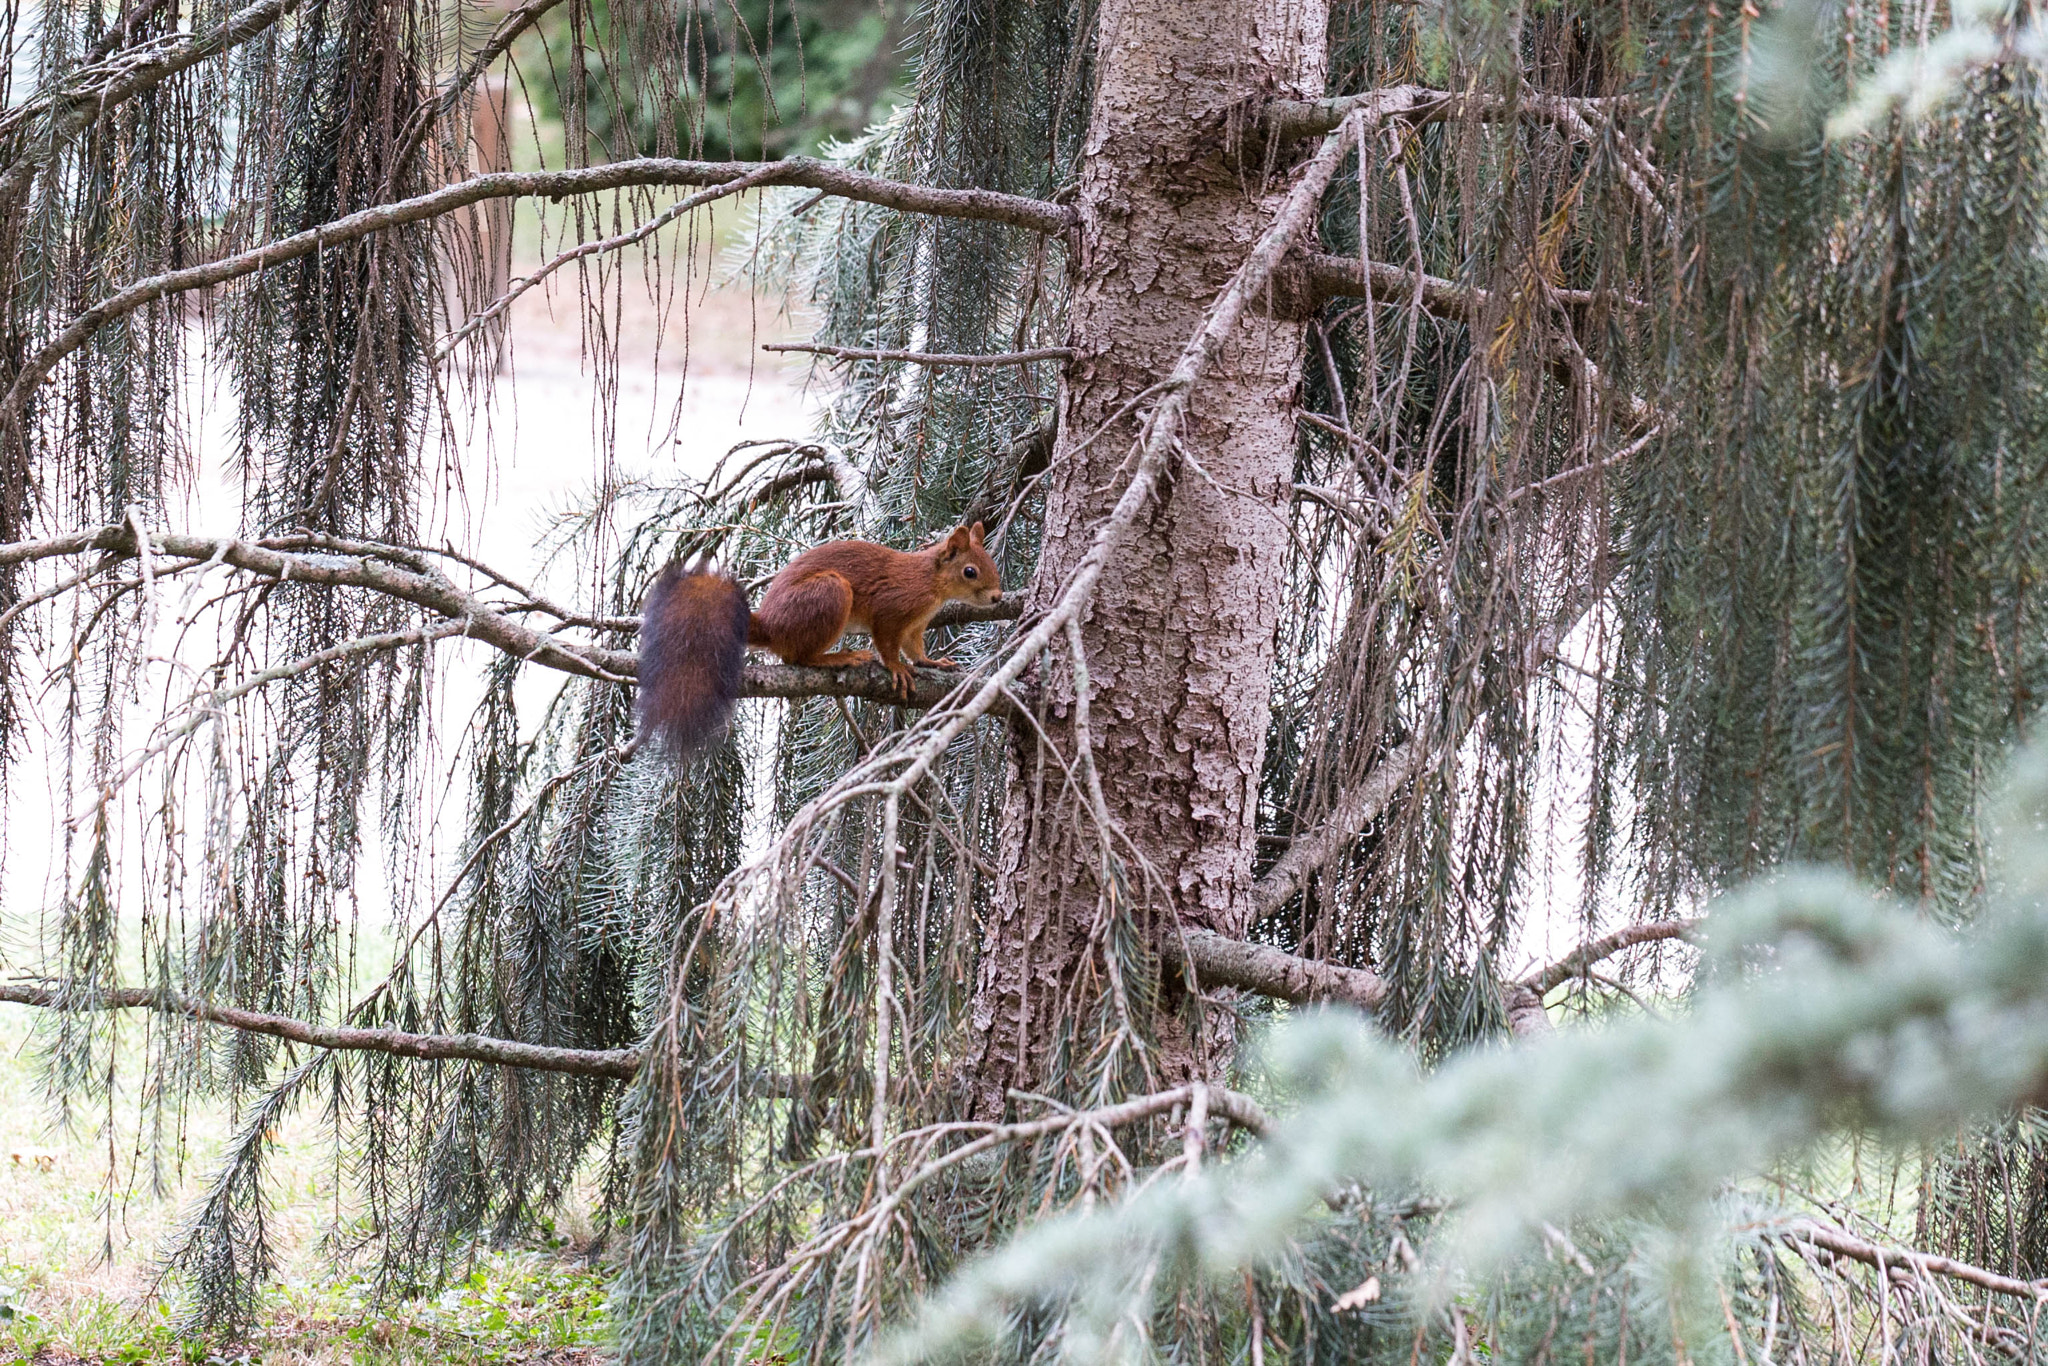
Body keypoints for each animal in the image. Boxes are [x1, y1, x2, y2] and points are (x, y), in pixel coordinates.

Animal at [630, 524, 999, 757]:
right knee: (797, 658)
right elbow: (887, 645)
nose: (997, 597)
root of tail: (771, 625)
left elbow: (916, 650)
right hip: (830, 593)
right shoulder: (891, 610)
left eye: (992, 563)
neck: (931, 583)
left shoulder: (915, 627)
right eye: (970, 571)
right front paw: (896, 668)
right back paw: (839, 657)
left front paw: (933, 662)